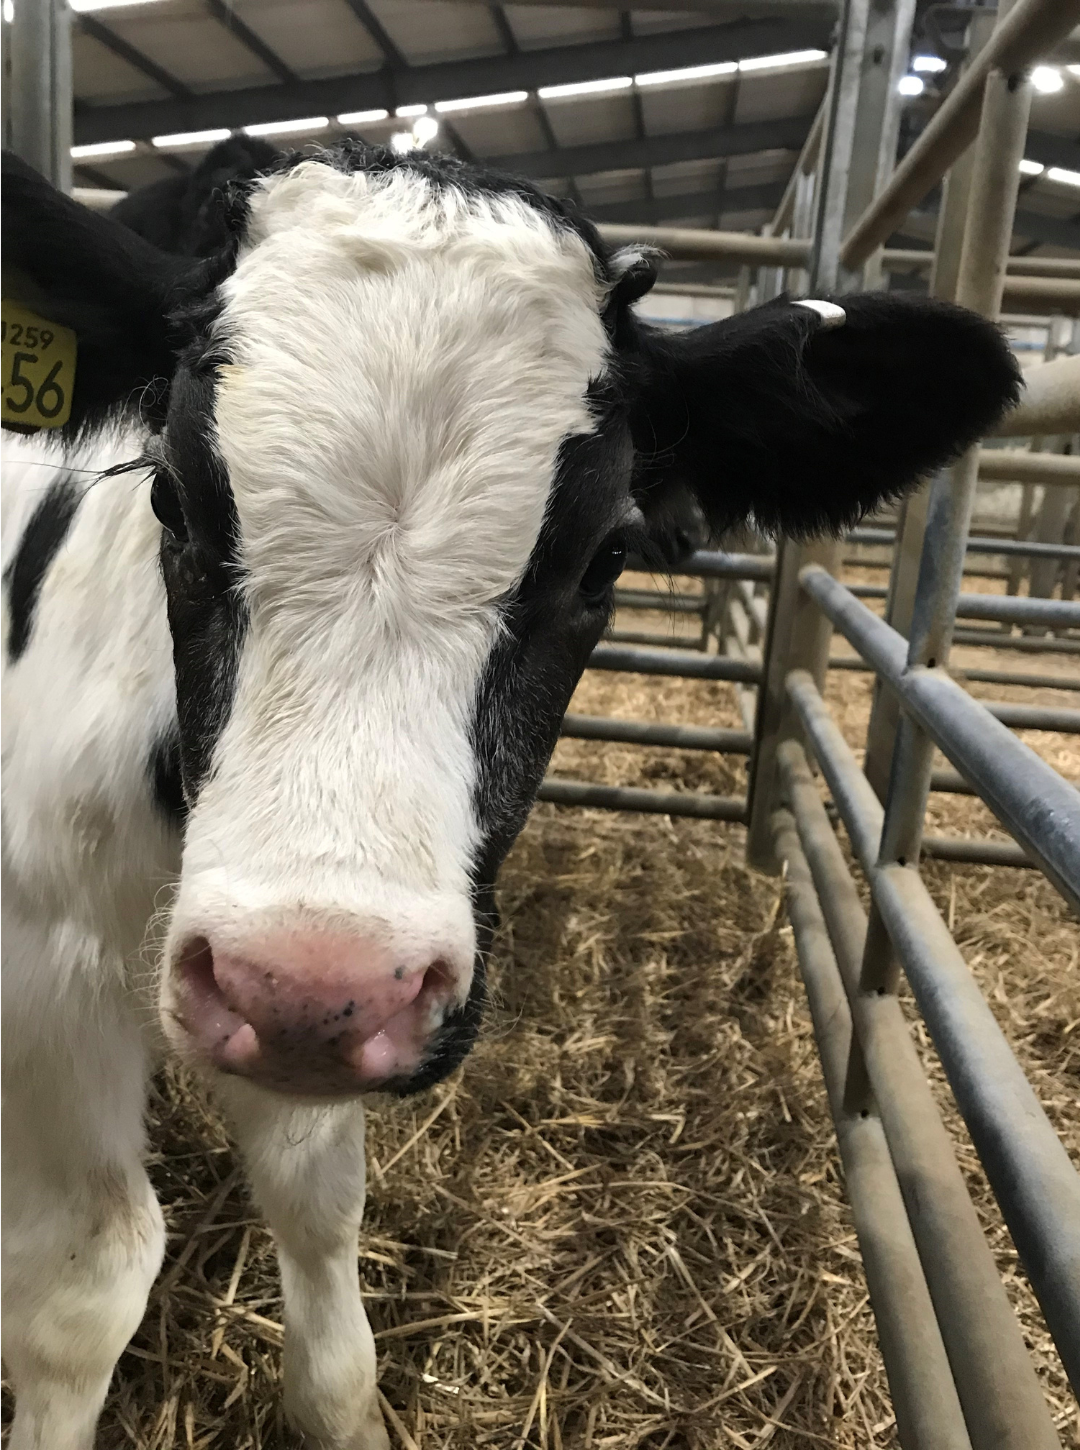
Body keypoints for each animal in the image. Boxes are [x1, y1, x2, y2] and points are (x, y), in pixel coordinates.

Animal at [1, 141, 1019, 1450]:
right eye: (170, 495)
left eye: (605, 558)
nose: (305, 986)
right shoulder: (46, 973)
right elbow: (86, 1286)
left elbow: (321, 1214)